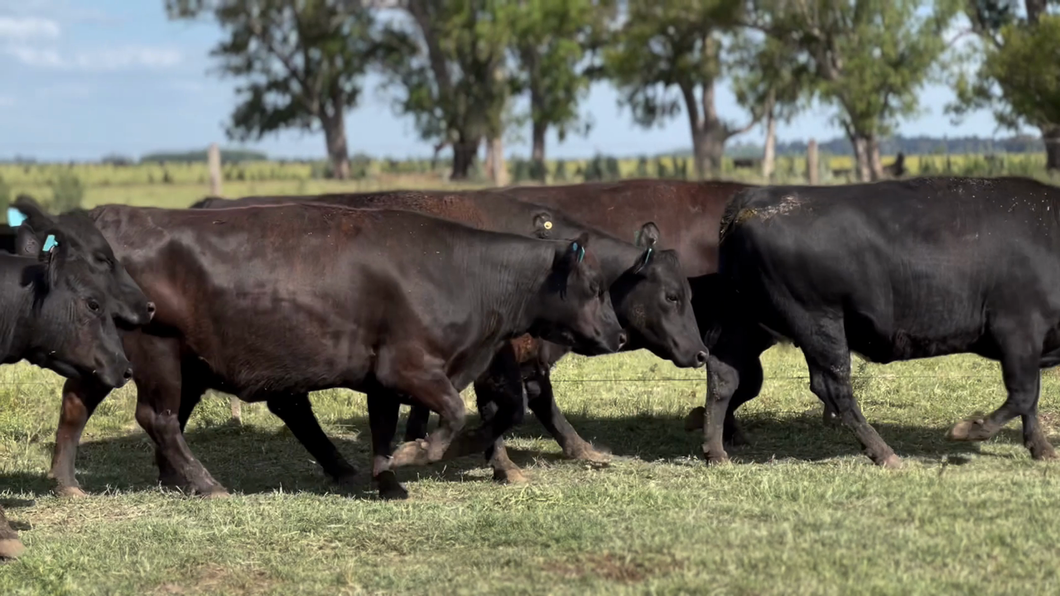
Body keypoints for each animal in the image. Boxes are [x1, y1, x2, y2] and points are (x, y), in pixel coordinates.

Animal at [49, 201, 623, 498]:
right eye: (595, 288)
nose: (618, 336)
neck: (463, 272)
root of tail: (116, 216)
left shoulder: (382, 377)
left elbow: (385, 427)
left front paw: (387, 478)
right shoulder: (411, 367)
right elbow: (456, 414)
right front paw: (418, 455)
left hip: (150, 356)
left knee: (83, 403)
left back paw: (75, 483)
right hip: (156, 351)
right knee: (159, 417)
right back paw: (205, 483)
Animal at [703, 176, 1060, 464]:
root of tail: (752, 200)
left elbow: (1030, 397)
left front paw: (1041, 449)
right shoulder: (1018, 330)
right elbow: (1023, 394)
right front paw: (968, 429)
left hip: (746, 323)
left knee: (724, 375)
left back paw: (715, 452)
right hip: (818, 322)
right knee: (833, 387)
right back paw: (884, 453)